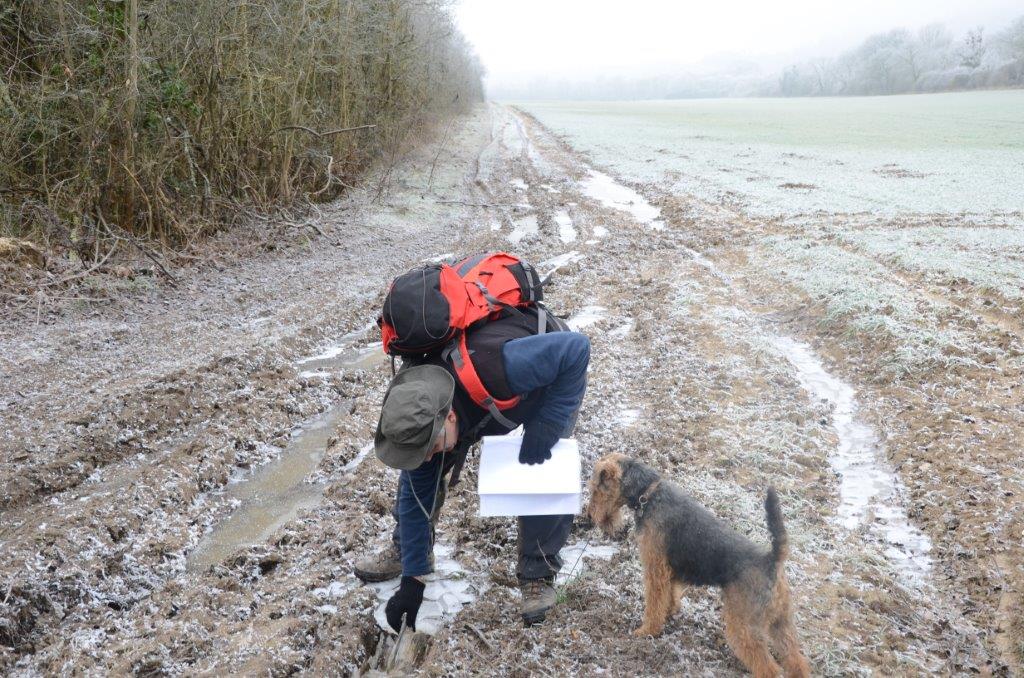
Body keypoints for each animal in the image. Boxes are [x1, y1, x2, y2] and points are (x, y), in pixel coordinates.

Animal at [589, 454, 811, 678]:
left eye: (595, 489)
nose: (590, 517)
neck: (648, 494)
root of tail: (772, 559)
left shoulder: (655, 568)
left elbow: (654, 603)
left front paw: (648, 631)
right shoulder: (670, 571)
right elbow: (671, 596)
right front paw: (670, 613)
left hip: (744, 626)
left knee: (769, 668)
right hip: (781, 622)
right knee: (796, 660)